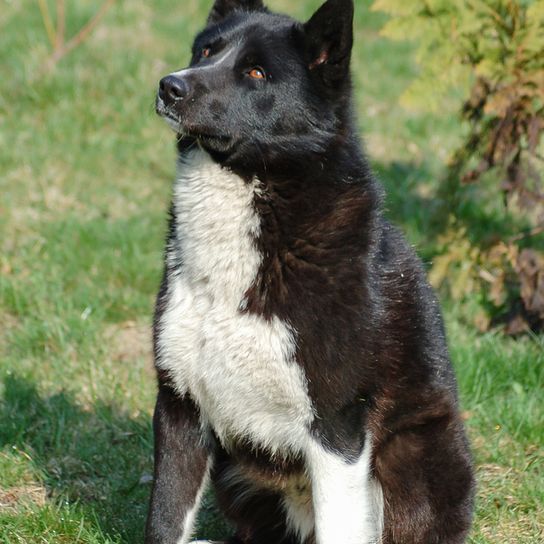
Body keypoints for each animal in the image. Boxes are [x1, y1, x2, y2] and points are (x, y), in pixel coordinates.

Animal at [147, 1, 474, 544]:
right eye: (206, 52)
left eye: (256, 73)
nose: (170, 85)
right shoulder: (179, 407)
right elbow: (163, 520)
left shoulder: (336, 427)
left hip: (412, 460)